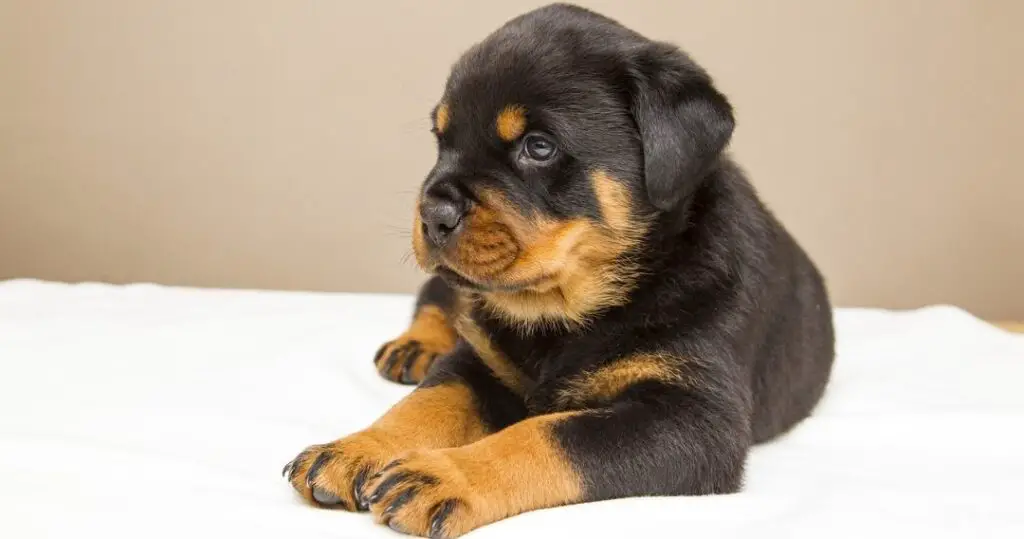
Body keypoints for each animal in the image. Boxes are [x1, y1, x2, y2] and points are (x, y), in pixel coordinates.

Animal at [280, 2, 831, 536]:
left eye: (539, 146)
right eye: (441, 139)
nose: (431, 214)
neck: (565, 309)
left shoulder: (694, 421)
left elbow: (549, 434)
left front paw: (442, 475)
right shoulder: (480, 360)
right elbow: (428, 401)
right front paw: (355, 448)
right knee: (438, 298)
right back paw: (415, 346)